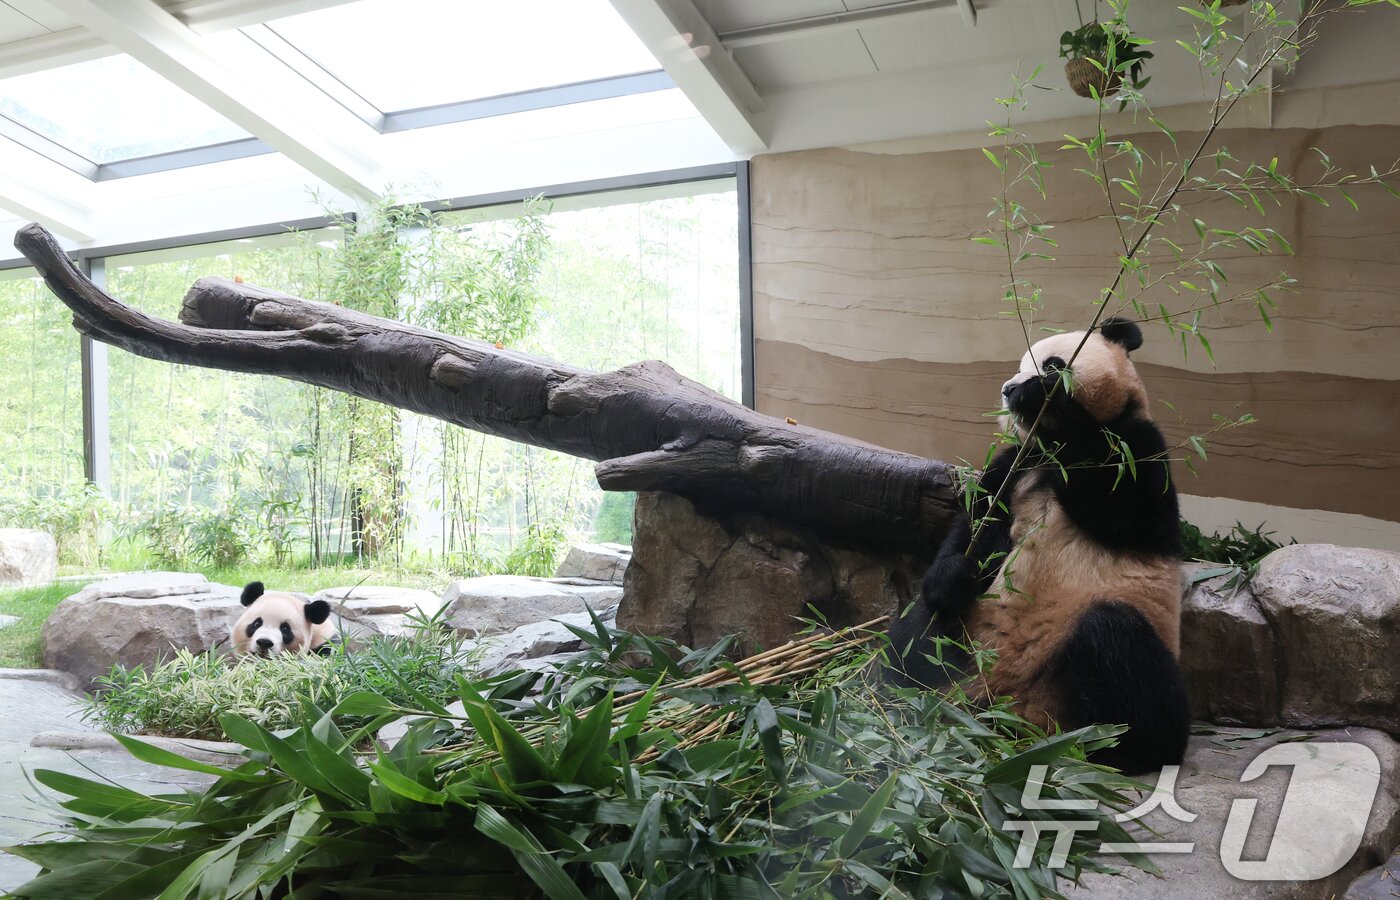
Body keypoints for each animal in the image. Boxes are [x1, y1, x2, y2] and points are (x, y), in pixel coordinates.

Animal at [889, 318, 1190, 774]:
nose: (1009, 389)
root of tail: (1011, 712)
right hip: (963, 644)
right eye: (1017, 365)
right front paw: (956, 572)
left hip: (1095, 663)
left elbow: (1129, 511)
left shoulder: (1136, 447)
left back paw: (1131, 750)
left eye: (1051, 364)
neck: (1049, 454)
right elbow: (977, 523)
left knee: (1118, 641)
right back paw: (892, 698)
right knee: (919, 627)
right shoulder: (1014, 464)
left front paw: (1046, 402)